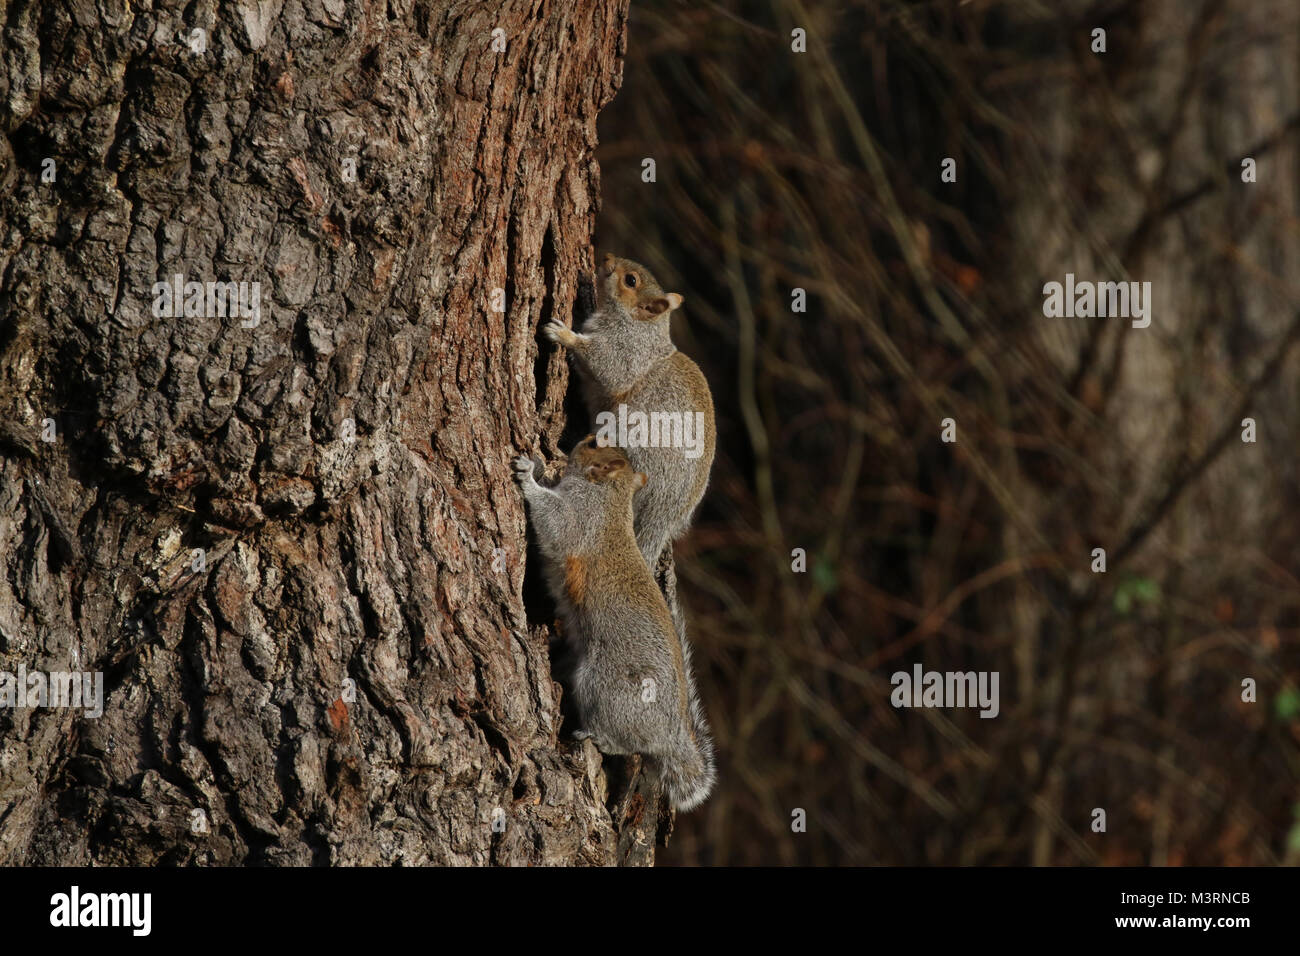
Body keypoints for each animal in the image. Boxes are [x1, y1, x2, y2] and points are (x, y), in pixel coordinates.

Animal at [509, 437, 717, 811]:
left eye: (593, 444)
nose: (584, 437)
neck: (613, 496)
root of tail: (670, 736)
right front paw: (538, 466)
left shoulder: (581, 518)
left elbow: (553, 521)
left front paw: (528, 476)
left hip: (604, 687)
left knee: (629, 741)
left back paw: (600, 737)